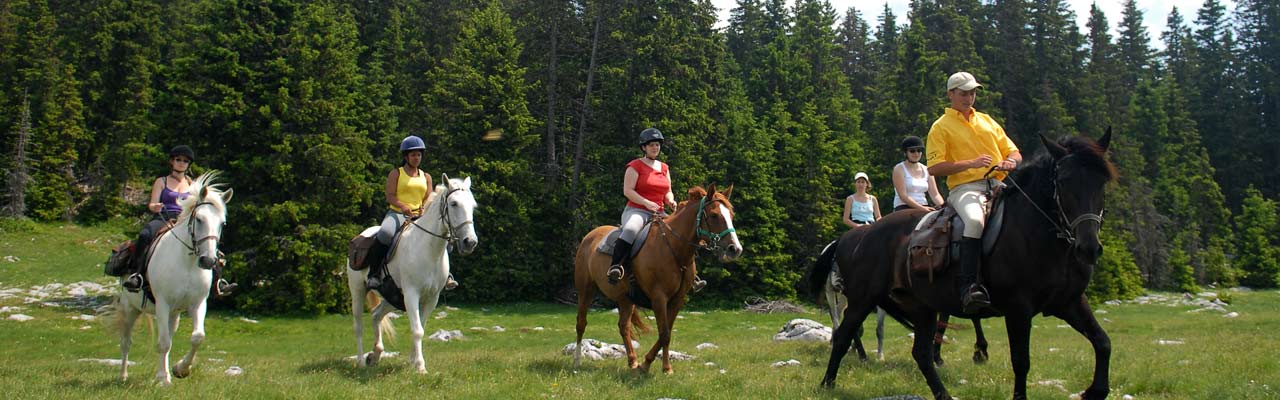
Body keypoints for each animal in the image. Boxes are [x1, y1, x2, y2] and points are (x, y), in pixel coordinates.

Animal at [102, 170, 230, 382]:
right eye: (199, 219)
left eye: (222, 223)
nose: (208, 261)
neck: (186, 264)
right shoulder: (162, 304)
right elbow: (162, 342)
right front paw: (162, 378)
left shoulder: (197, 304)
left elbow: (197, 337)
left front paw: (180, 369)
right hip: (131, 309)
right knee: (126, 342)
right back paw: (123, 376)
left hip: (173, 314)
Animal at [343, 173, 478, 374]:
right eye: (453, 203)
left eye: (473, 205)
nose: (470, 242)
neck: (429, 249)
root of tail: (360, 237)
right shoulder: (412, 293)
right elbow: (417, 330)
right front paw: (420, 366)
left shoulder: (431, 298)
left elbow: (420, 326)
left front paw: (413, 361)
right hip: (358, 291)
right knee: (358, 326)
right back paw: (361, 361)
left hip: (392, 298)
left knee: (376, 315)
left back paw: (375, 355)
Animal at [570, 185, 742, 374]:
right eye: (714, 215)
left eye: (731, 215)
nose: (735, 249)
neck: (673, 247)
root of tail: (590, 236)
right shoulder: (659, 298)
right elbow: (664, 334)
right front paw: (654, 366)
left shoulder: (677, 300)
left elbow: (666, 333)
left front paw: (656, 366)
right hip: (585, 290)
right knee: (581, 323)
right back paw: (577, 361)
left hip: (625, 299)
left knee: (624, 327)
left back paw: (633, 361)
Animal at [824, 132, 1116, 400]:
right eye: (1063, 182)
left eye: (1102, 182)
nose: (1089, 248)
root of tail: (859, 235)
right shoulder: (1018, 309)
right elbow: (1021, 361)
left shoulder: (1069, 302)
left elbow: (1103, 342)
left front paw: (1095, 391)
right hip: (862, 300)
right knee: (843, 336)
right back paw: (827, 384)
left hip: (921, 307)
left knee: (921, 353)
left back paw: (943, 393)